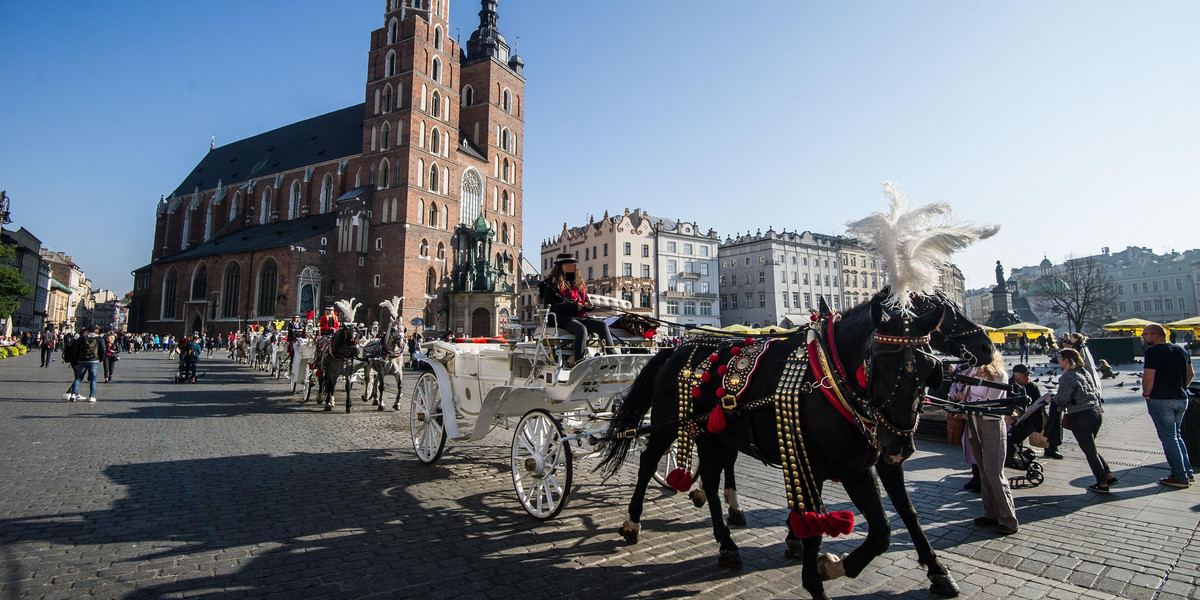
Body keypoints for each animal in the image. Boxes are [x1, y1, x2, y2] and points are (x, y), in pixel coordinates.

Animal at [600, 295, 945, 600]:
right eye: (877, 361)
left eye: (930, 369)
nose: (897, 444)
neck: (828, 373)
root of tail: (675, 350)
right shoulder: (817, 465)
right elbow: (816, 529)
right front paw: (816, 581)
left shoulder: (857, 467)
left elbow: (886, 527)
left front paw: (834, 565)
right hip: (667, 422)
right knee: (648, 462)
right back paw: (632, 523)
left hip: (716, 435)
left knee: (710, 478)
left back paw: (727, 544)